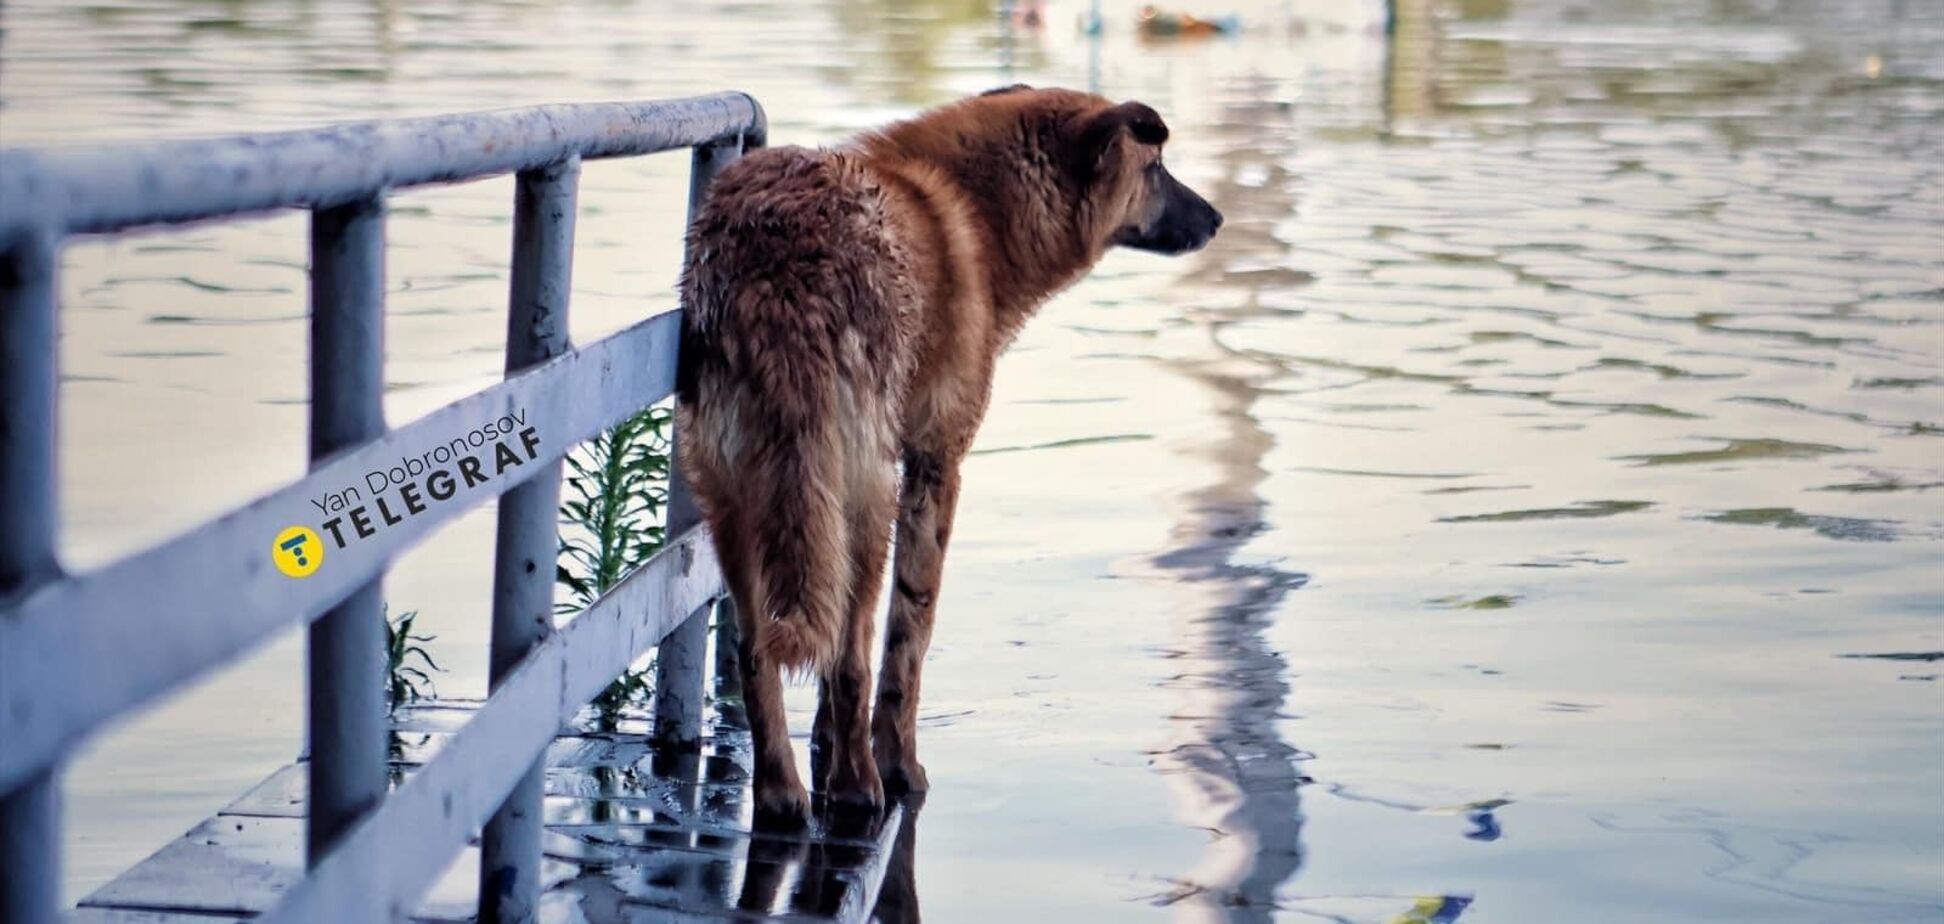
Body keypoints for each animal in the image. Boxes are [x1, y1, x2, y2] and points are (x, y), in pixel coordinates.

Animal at [668, 86, 1213, 824]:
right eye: (1156, 168)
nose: (1216, 218)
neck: (981, 209)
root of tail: (776, 259)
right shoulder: (935, 464)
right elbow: (907, 638)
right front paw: (899, 765)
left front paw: (826, 742)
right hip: (860, 493)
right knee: (852, 653)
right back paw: (860, 789)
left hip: (743, 494)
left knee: (762, 653)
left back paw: (784, 793)